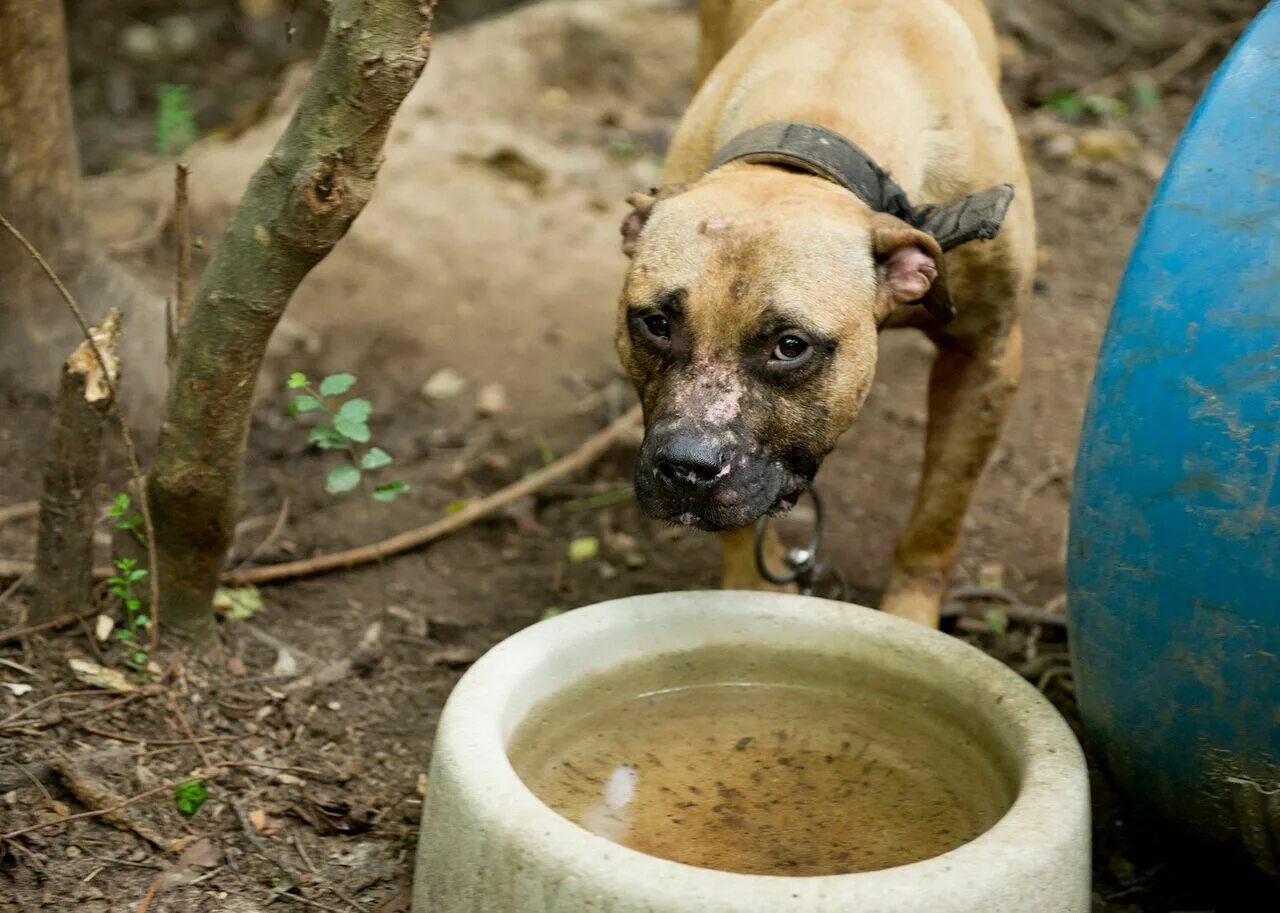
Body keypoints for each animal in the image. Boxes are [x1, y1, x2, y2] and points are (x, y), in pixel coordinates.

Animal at [614, 0, 1034, 627]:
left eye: (790, 346)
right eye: (656, 325)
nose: (687, 467)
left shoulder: (985, 356)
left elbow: (936, 518)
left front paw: (911, 622)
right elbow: (738, 533)